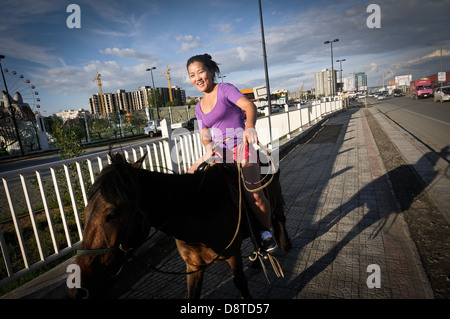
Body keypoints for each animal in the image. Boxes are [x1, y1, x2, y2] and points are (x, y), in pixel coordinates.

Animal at [68, 152, 290, 300]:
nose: (78, 287)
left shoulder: (233, 256)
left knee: (278, 218)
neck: (202, 209)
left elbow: (241, 285)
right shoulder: (193, 266)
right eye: (85, 211)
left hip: (274, 199)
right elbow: (192, 294)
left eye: (112, 214)